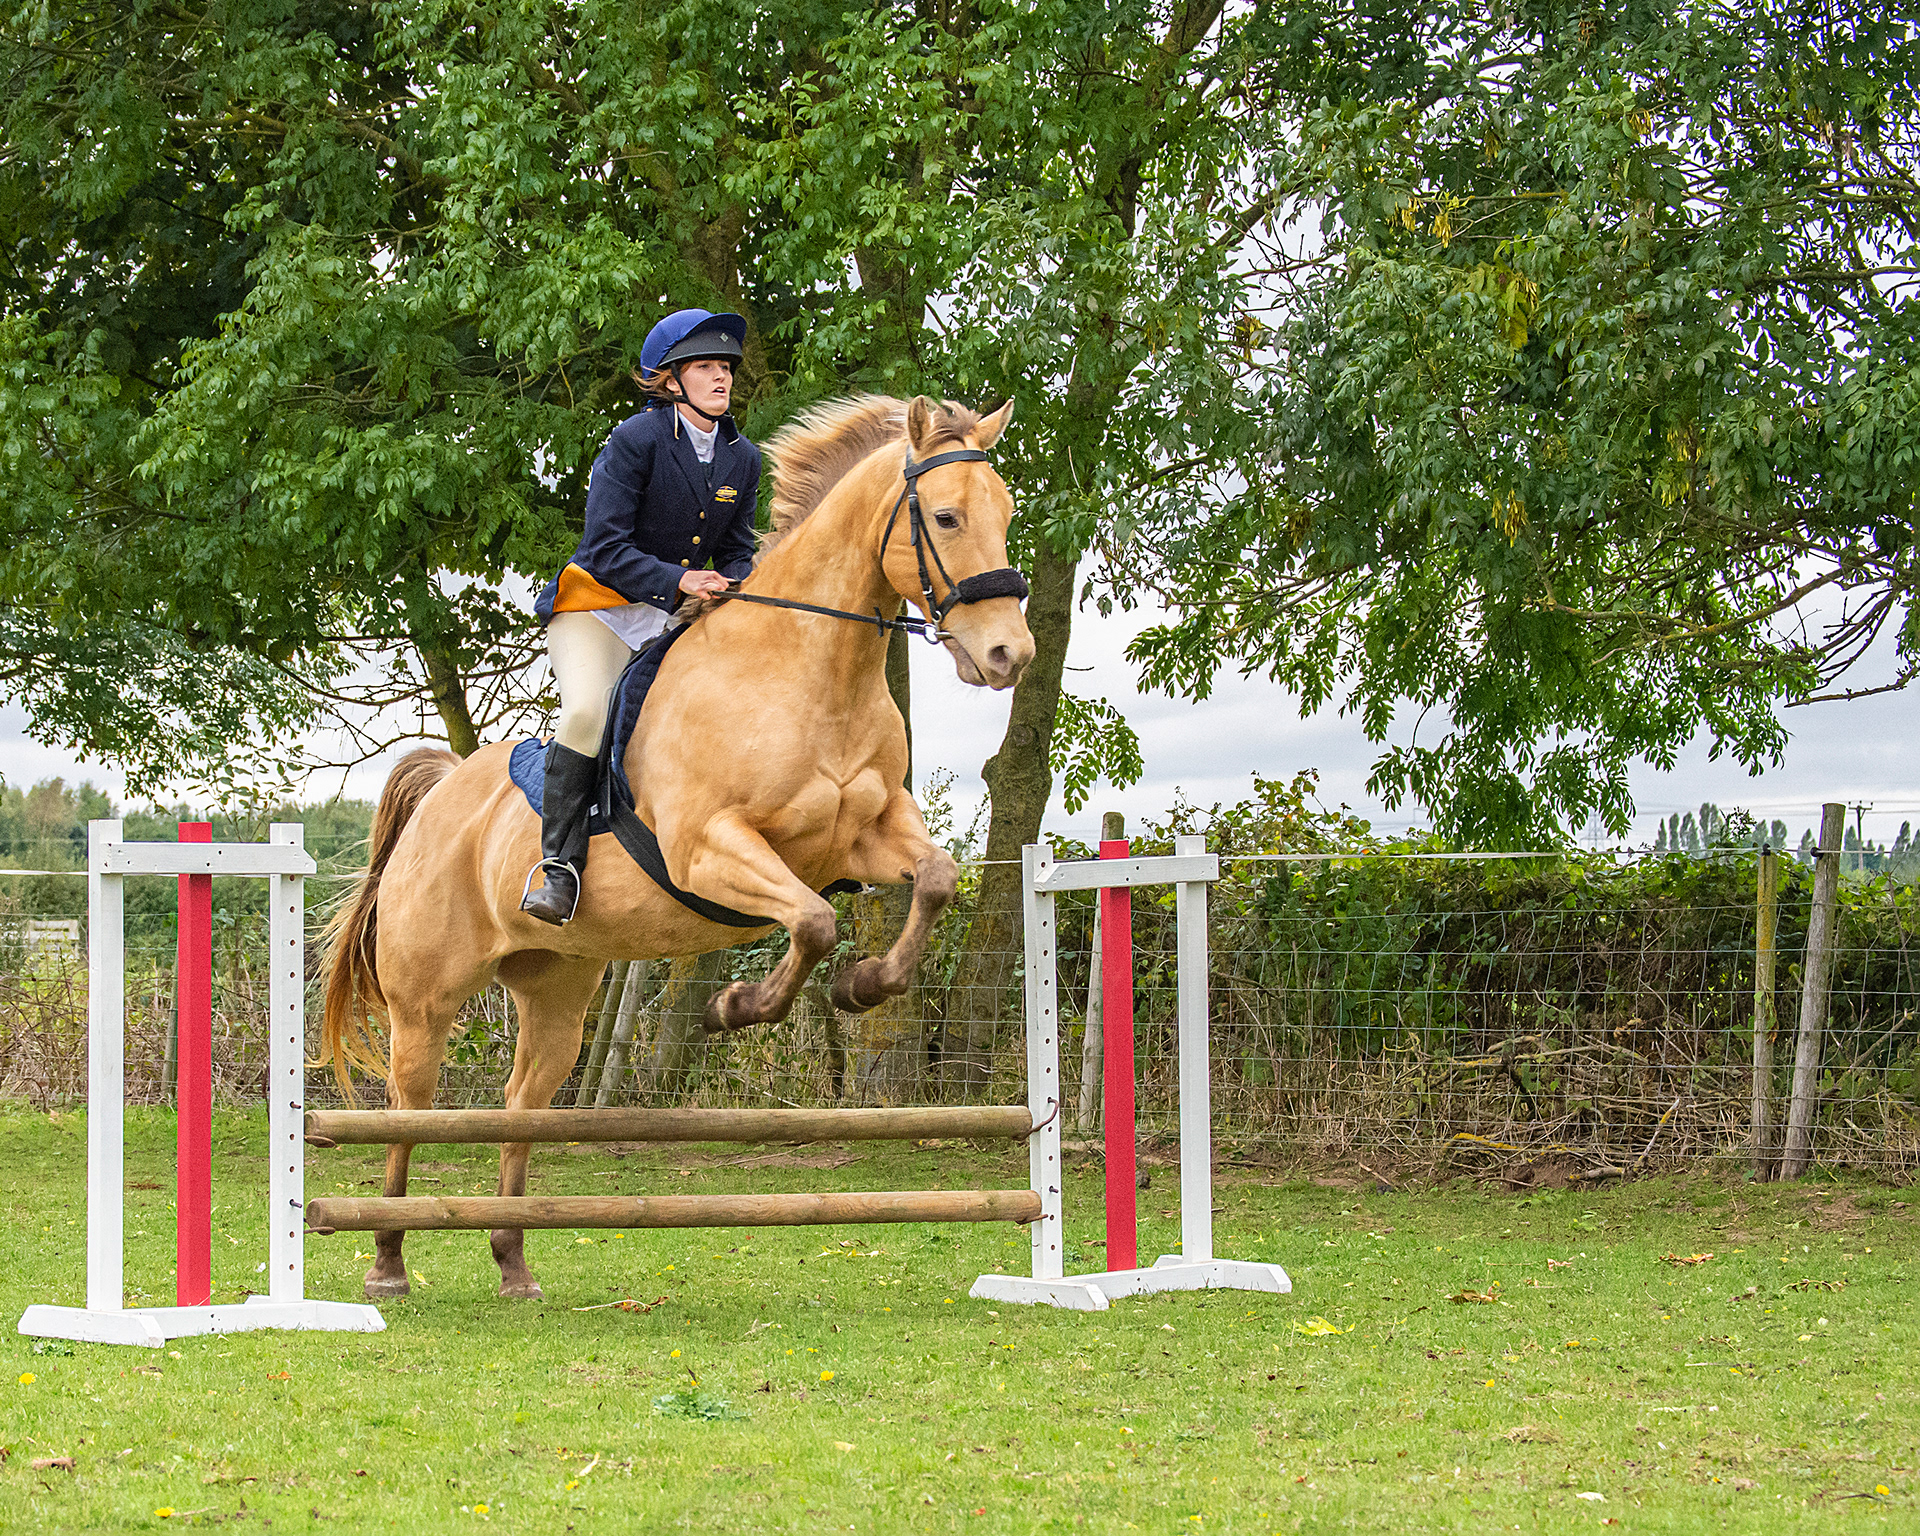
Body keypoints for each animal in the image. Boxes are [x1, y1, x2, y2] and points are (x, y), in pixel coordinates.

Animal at [320, 395, 1035, 1300]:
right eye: (944, 517)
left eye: (1006, 513)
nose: (1010, 655)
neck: (809, 670)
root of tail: (442, 796)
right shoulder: (712, 848)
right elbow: (813, 922)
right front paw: (737, 1007)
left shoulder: (865, 836)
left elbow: (934, 880)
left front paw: (864, 987)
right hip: (424, 1004)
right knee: (409, 1110)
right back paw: (387, 1261)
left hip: (557, 997)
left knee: (521, 1104)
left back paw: (514, 1261)